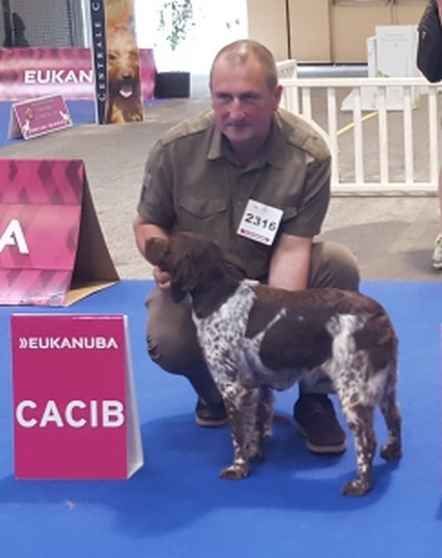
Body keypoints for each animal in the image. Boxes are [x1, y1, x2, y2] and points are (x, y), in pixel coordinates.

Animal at [144, 233, 400, 498]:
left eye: (168, 245)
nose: (149, 239)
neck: (219, 296)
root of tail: (378, 315)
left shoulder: (231, 387)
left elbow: (238, 434)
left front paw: (238, 468)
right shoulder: (255, 385)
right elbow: (255, 425)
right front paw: (255, 453)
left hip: (354, 390)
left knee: (367, 440)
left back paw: (360, 484)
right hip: (385, 383)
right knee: (395, 417)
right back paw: (392, 452)